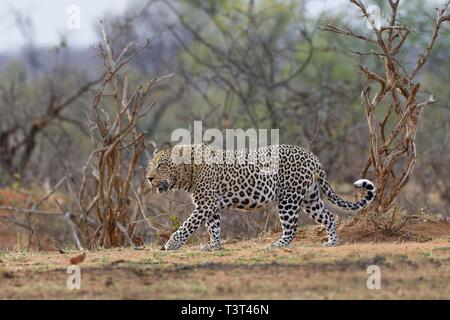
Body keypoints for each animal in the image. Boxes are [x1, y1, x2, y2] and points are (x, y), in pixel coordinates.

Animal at [146, 144, 374, 251]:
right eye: (150, 166)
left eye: (161, 166)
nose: (149, 178)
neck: (187, 171)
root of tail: (312, 156)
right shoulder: (210, 205)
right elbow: (214, 227)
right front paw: (214, 246)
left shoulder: (206, 204)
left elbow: (187, 225)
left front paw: (171, 244)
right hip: (310, 198)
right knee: (328, 216)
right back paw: (332, 242)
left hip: (288, 199)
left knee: (291, 229)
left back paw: (276, 245)